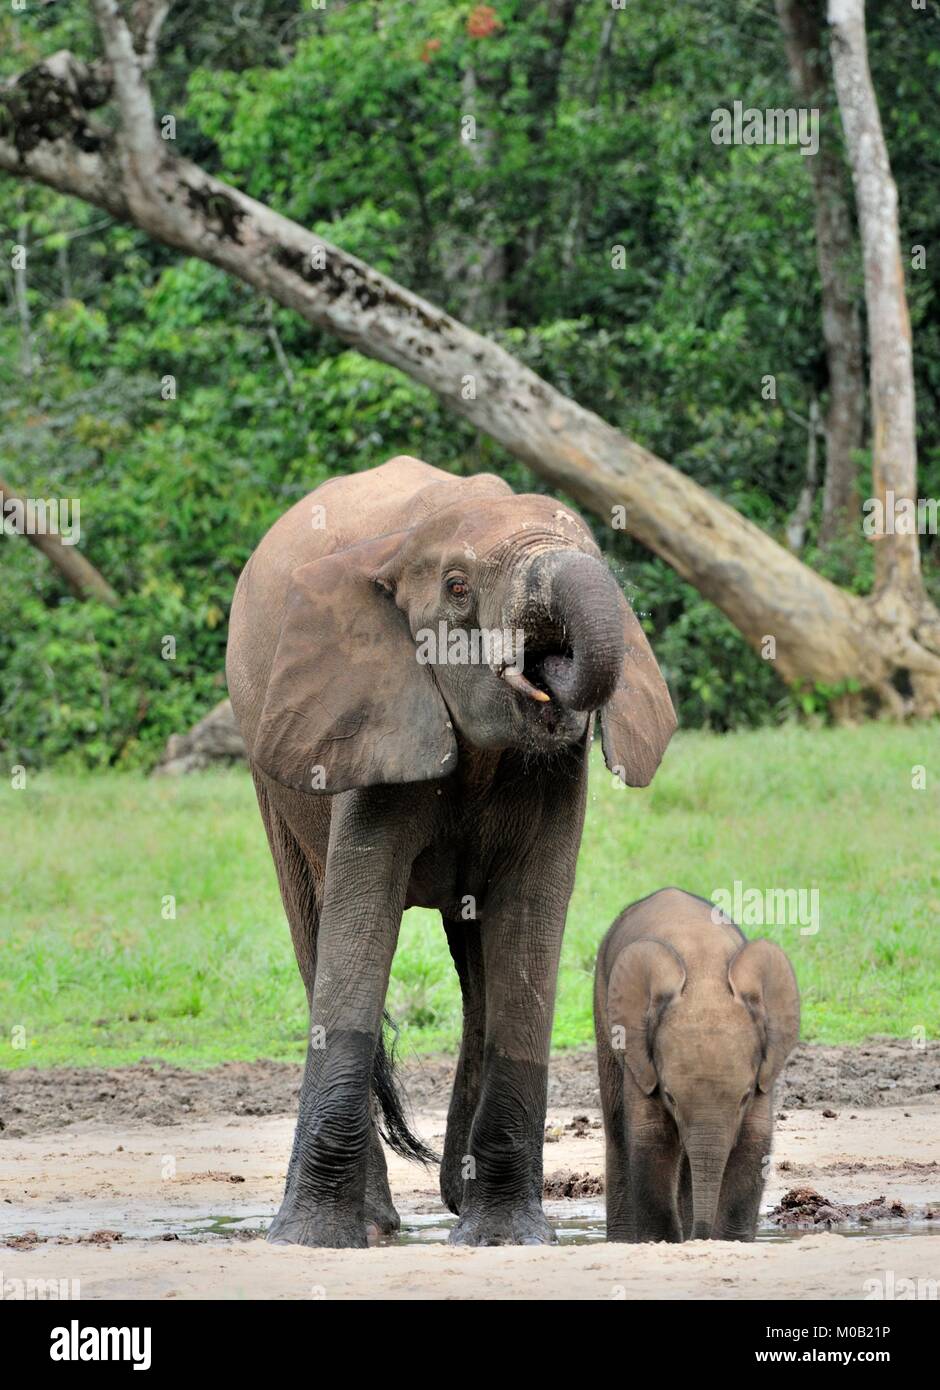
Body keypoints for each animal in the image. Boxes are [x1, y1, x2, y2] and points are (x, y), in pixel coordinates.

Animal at [226, 455, 676, 1248]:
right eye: (459, 588)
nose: (546, 664)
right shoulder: (367, 712)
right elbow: (359, 929)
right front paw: (311, 1242)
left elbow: (527, 931)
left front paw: (505, 1240)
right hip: (271, 768)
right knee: (312, 931)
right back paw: (378, 1221)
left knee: (479, 966)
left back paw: (458, 1201)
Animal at [594, 887, 800, 1242]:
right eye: (670, 1097)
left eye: (745, 1097)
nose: (699, 1236)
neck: (704, 973)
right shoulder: (644, 1059)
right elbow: (650, 1137)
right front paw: (661, 1241)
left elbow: (754, 1139)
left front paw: (730, 1241)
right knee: (618, 1129)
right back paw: (621, 1240)